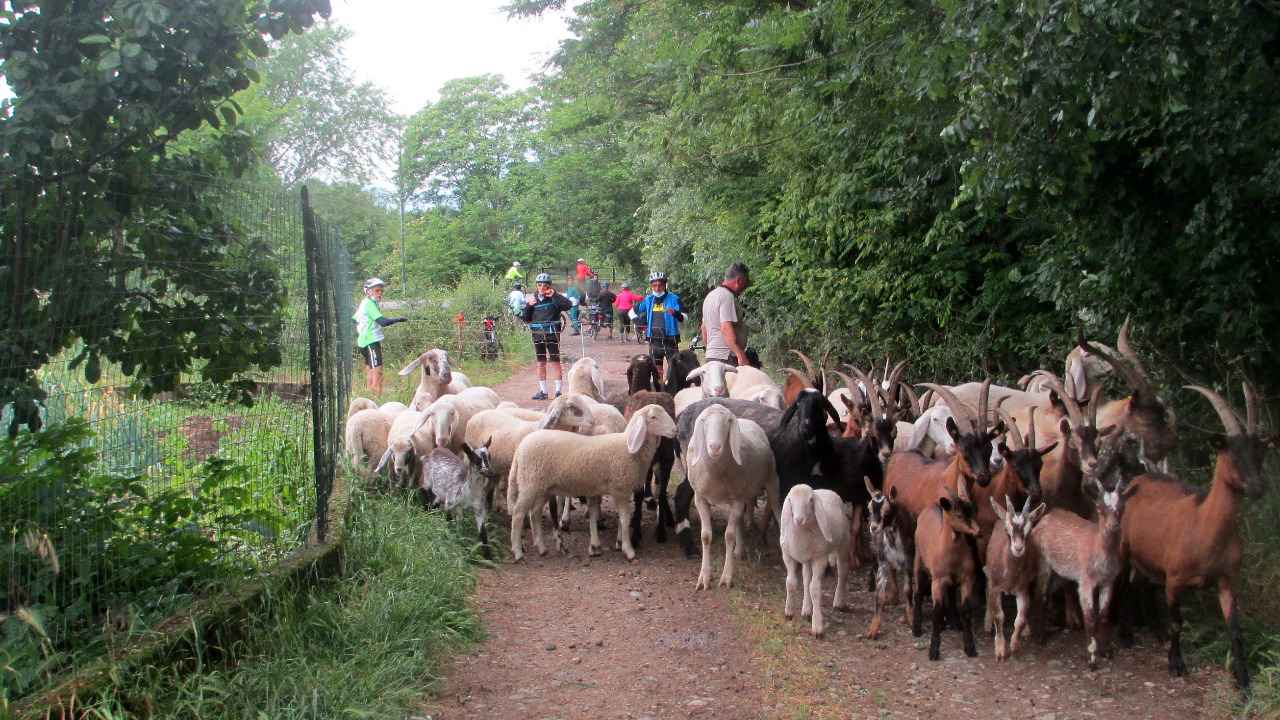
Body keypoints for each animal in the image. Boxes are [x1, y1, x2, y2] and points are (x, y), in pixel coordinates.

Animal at [504, 404, 680, 561]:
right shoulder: (621, 489)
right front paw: (628, 550)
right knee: (518, 513)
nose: (675, 430)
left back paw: (541, 548)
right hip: (529, 484)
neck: (628, 450)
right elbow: (624, 519)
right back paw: (517, 551)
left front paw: (607, 545)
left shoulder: (614, 491)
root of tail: (520, 448)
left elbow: (608, 517)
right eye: (653, 417)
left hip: (543, 488)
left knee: (534, 513)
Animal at [691, 404, 778, 589]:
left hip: (772, 480)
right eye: (704, 421)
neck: (716, 472)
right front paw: (704, 577)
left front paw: (726, 578)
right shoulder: (700, 498)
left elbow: (728, 536)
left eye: (727, 422)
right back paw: (739, 550)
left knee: (778, 510)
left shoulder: (737, 499)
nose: (714, 447)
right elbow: (705, 536)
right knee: (739, 520)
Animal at [778, 481, 849, 632]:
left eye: (810, 500)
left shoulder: (819, 558)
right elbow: (791, 582)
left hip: (844, 544)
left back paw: (838, 602)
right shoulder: (787, 555)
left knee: (842, 572)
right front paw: (789, 612)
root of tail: (827, 490)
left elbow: (815, 589)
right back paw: (806, 609)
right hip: (807, 558)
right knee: (806, 579)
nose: (798, 519)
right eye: (790, 500)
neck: (801, 531)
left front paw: (817, 626)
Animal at [911, 481, 977, 655]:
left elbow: (966, 610)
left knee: (952, 593)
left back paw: (954, 622)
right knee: (918, 592)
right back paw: (916, 628)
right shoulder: (937, 580)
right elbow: (937, 611)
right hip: (919, 560)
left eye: (973, 511)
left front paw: (970, 647)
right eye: (958, 515)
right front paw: (933, 649)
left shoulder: (967, 578)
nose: (977, 531)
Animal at [1121, 381, 1269, 681]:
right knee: (1123, 585)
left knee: (1139, 584)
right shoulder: (1174, 580)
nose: (1258, 488)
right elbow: (1177, 622)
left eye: (1260, 453)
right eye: (1232, 453)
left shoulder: (1227, 580)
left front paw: (1243, 677)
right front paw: (1176, 664)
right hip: (1122, 546)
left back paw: (1153, 630)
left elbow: (1235, 629)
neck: (1204, 526)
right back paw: (1128, 635)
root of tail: (1139, 478)